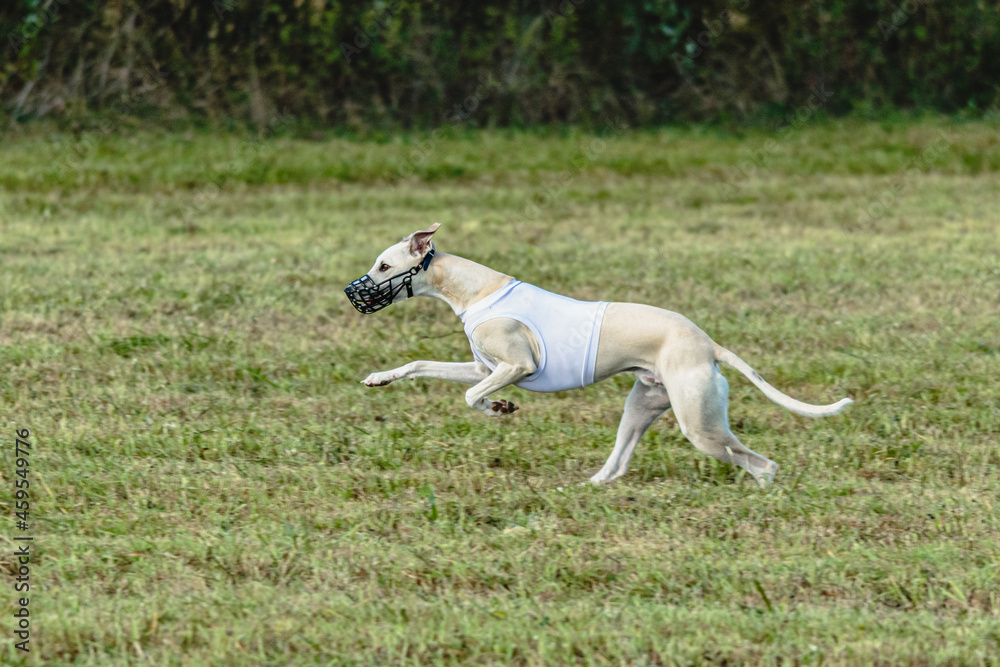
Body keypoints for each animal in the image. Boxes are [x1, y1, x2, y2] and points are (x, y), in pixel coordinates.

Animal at [346, 224, 852, 486]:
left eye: (384, 265)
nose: (351, 292)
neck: (475, 290)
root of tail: (707, 343)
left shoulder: (516, 365)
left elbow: (472, 396)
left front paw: (498, 407)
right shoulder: (481, 367)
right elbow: (420, 365)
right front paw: (379, 378)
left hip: (700, 424)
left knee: (762, 463)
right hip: (644, 402)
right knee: (617, 464)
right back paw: (586, 486)